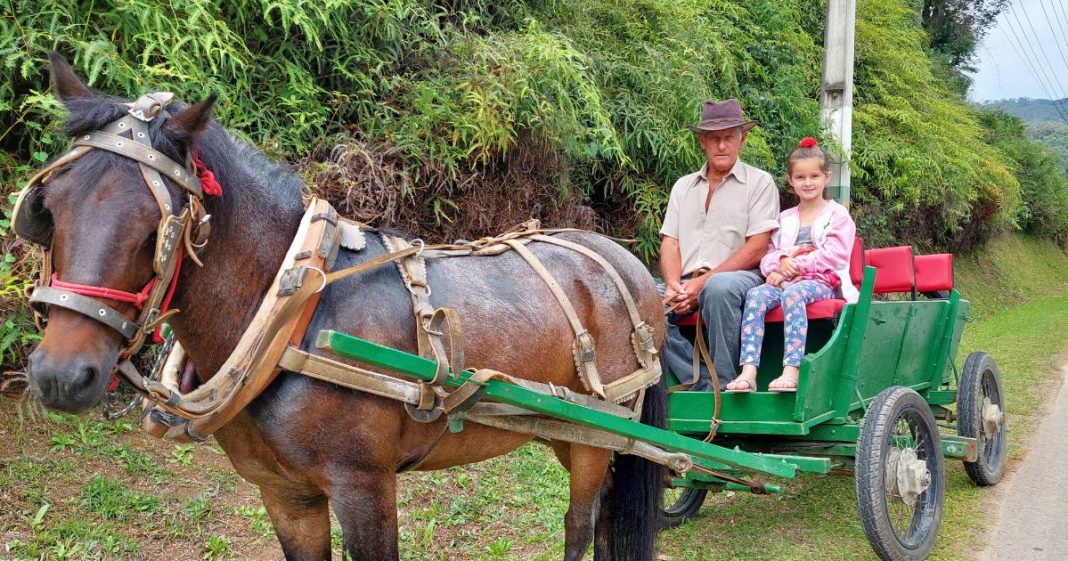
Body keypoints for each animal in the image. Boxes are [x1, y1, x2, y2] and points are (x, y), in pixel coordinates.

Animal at [18, 53, 666, 559]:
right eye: (47, 206)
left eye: (160, 228)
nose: (59, 376)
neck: (291, 316)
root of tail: (628, 262)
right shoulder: (286, 495)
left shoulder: (364, 488)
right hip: (569, 430)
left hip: (594, 436)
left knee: (580, 525)